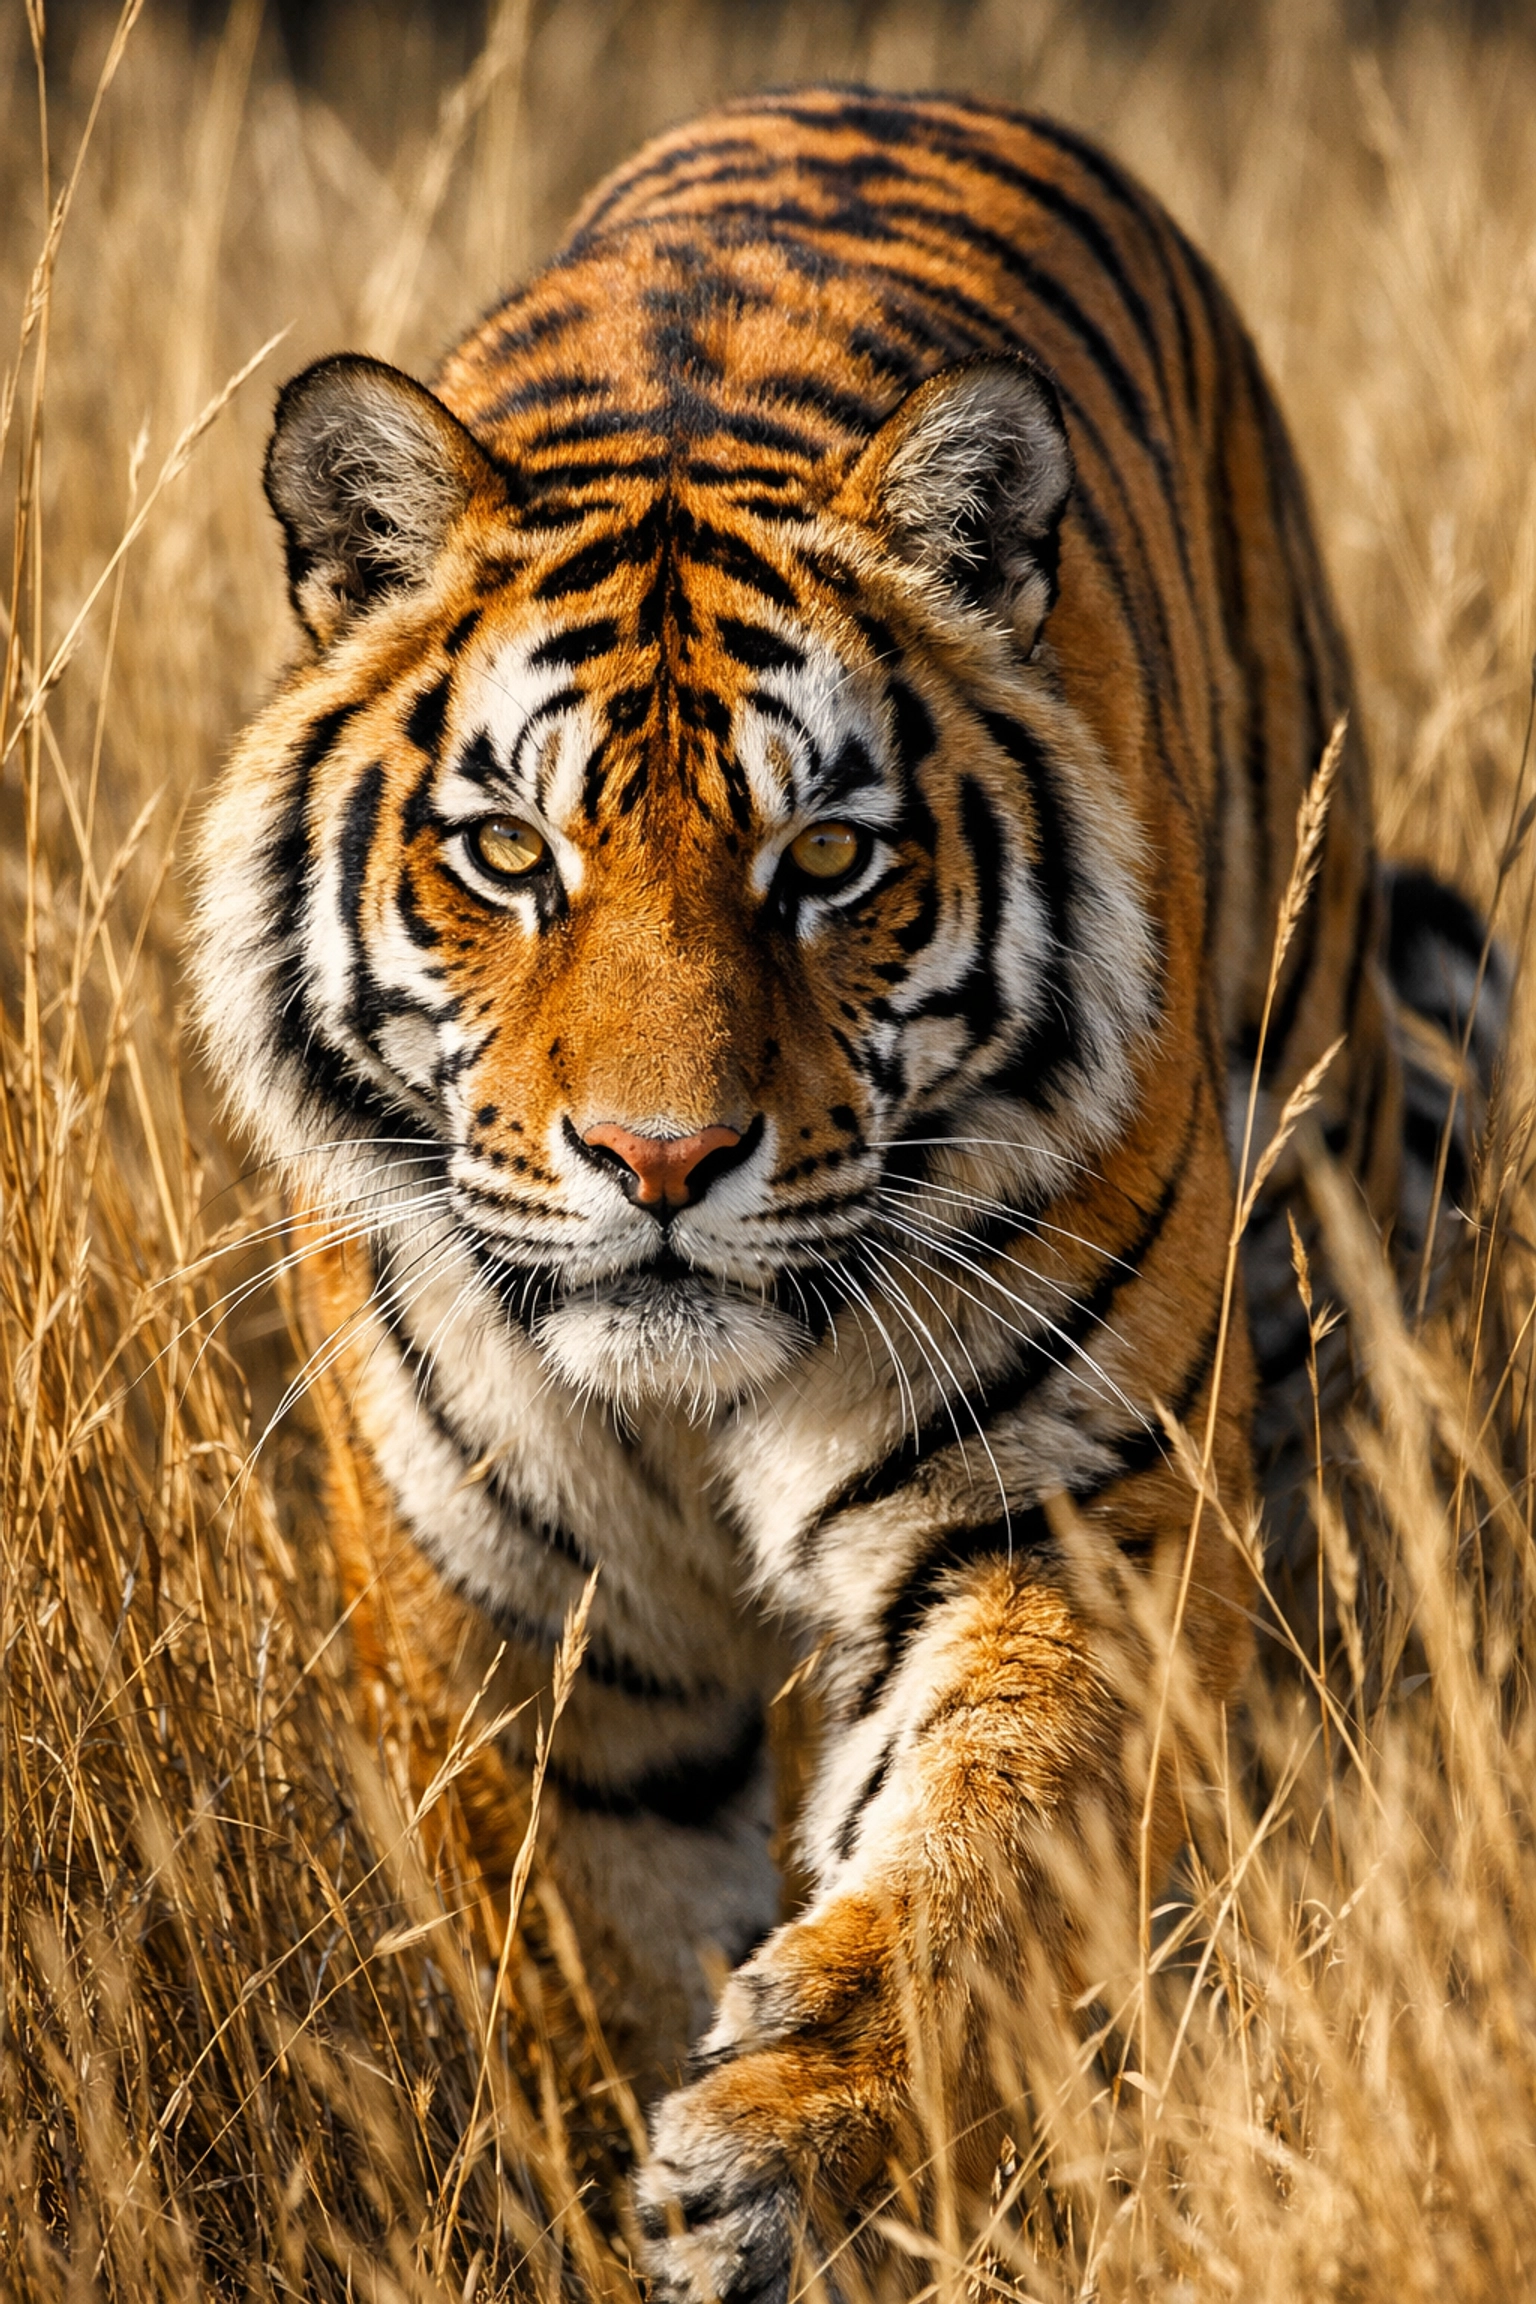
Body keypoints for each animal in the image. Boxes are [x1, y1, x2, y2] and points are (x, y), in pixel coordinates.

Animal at [191, 87, 1501, 2303]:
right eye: (510, 853)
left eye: (825, 860)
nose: (660, 1161)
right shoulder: (527, 1641)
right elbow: (590, 1971)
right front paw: (630, 2185)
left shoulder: (1059, 1515)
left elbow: (973, 1870)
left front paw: (785, 2153)